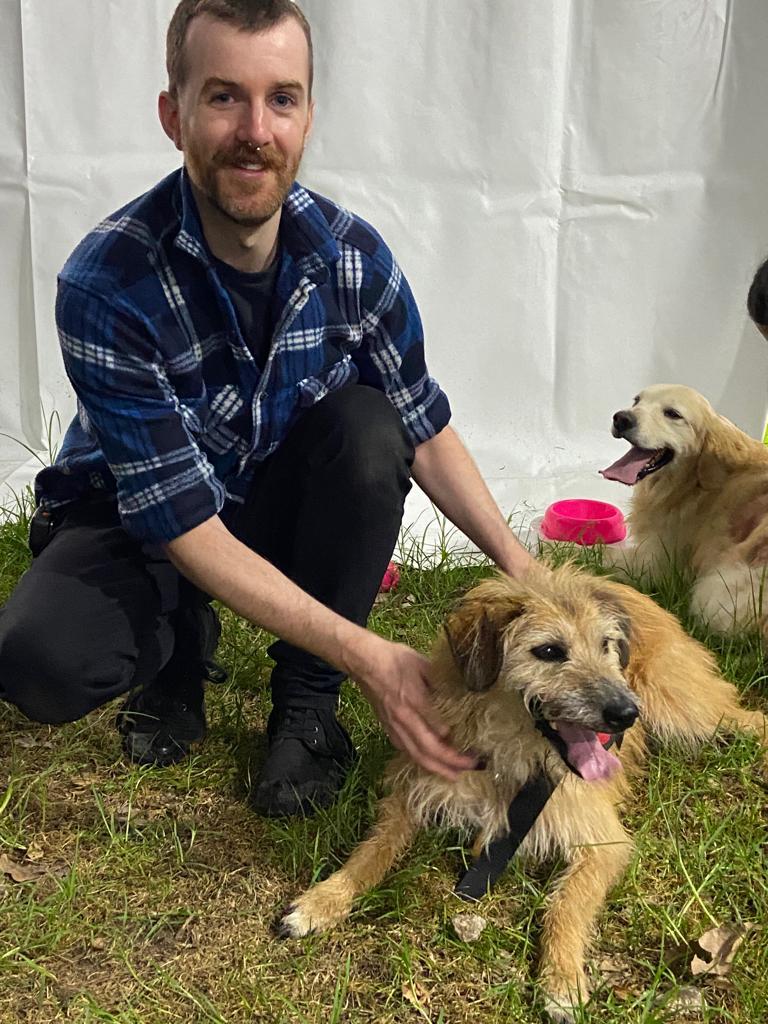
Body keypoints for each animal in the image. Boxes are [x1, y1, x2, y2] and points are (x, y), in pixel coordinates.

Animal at [280, 565, 768, 1019]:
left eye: (605, 645)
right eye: (549, 651)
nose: (626, 714)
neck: (509, 755)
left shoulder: (601, 842)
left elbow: (566, 906)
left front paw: (562, 981)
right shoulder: (411, 791)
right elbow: (370, 853)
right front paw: (323, 900)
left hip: (687, 709)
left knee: (749, 719)